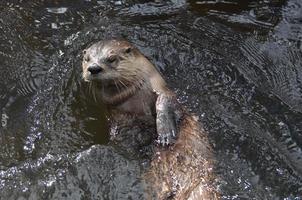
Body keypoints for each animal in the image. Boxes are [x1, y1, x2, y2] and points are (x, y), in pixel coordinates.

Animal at [82, 39, 218, 200]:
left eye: (111, 58)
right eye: (87, 59)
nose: (93, 68)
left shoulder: (160, 88)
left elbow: (165, 102)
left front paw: (165, 134)